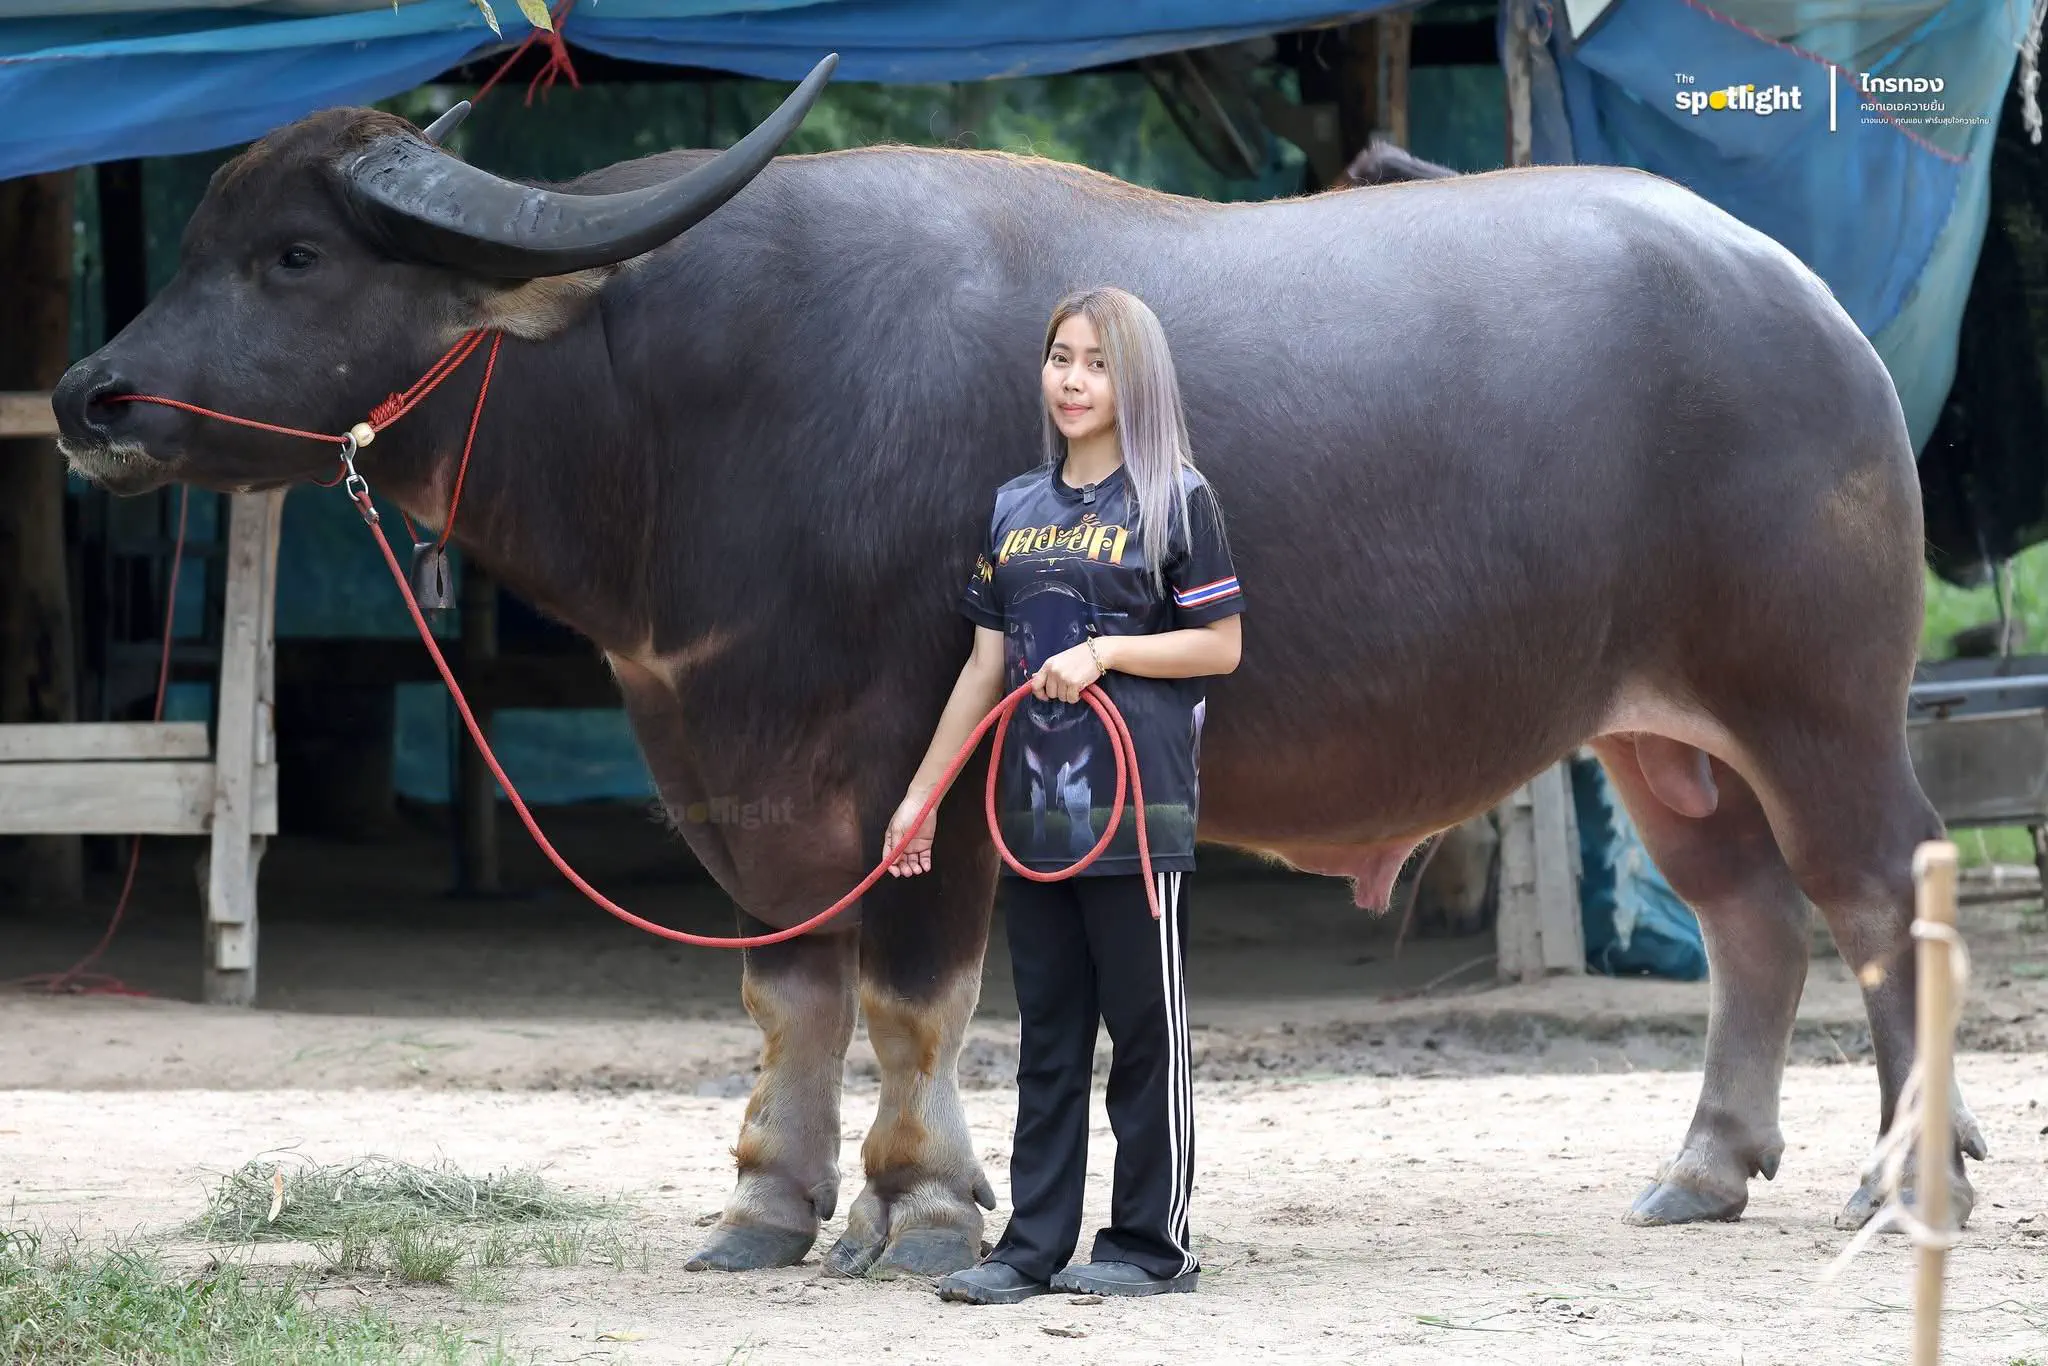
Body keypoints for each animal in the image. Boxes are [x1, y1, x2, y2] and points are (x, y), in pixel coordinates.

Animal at [53, 56, 1982, 1276]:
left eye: (297, 252)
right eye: (206, 238)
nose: (89, 398)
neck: (674, 398)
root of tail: (1812, 313)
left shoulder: (934, 758)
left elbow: (912, 991)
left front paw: (916, 1207)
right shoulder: (733, 772)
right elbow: (791, 994)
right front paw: (766, 1209)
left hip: (1817, 704)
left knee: (1883, 898)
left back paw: (1910, 1182)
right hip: (1660, 737)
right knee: (1747, 918)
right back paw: (1703, 1171)